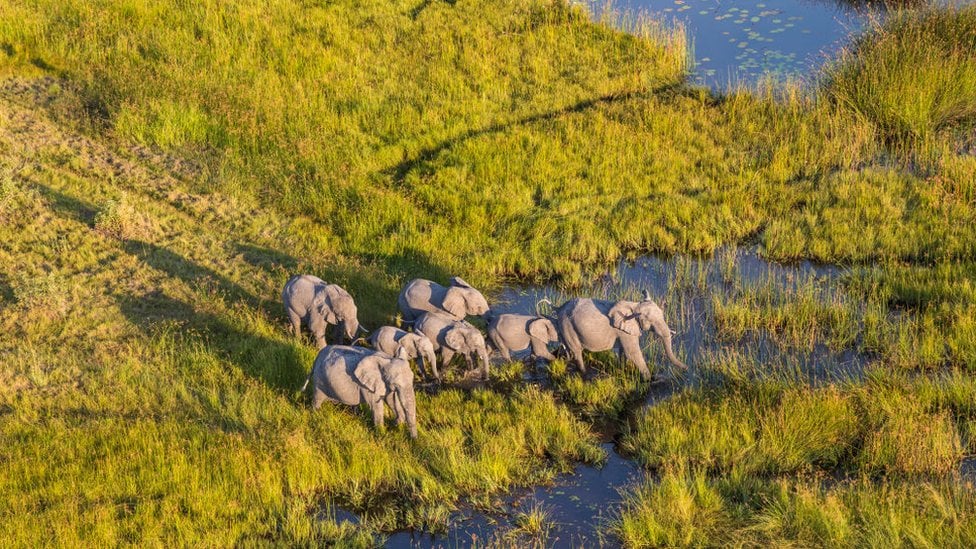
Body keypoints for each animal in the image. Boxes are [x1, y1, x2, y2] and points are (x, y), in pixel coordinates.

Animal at [556, 292, 688, 382]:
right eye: (650, 321)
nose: (687, 368)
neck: (634, 305)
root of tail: (559, 308)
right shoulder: (624, 330)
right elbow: (633, 353)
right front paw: (649, 380)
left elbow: (623, 351)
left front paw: (622, 370)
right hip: (567, 325)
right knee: (577, 351)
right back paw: (585, 374)